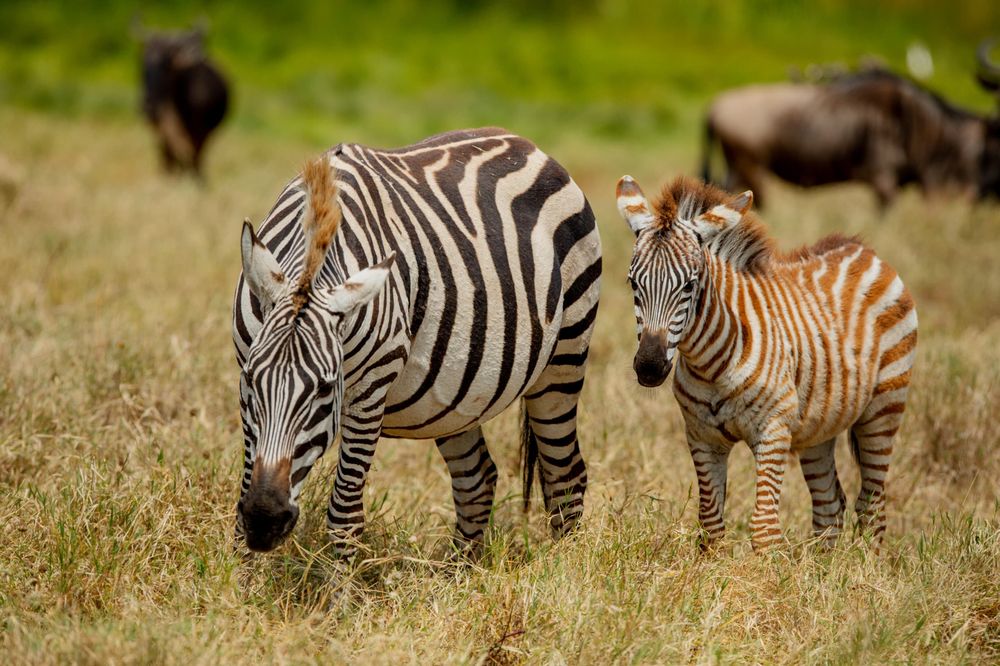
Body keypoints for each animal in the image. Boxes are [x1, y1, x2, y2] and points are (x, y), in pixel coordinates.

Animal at [233, 128, 601, 557]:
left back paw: (561, 563)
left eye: (325, 391)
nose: (265, 520)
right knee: (477, 479)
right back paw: (459, 571)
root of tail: (525, 143)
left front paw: (340, 579)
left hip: (565, 357)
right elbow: (243, 492)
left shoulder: (370, 391)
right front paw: (240, 573)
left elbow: (344, 517)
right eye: (252, 381)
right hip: (455, 396)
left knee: (565, 475)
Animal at [615, 174, 917, 551]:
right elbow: (710, 524)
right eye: (632, 282)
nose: (650, 367)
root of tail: (862, 248)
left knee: (871, 504)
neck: (712, 365)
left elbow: (764, 527)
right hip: (818, 426)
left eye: (689, 285)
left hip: (884, 407)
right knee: (831, 505)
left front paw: (765, 569)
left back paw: (866, 564)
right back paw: (826, 566)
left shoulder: (773, 431)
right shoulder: (701, 436)